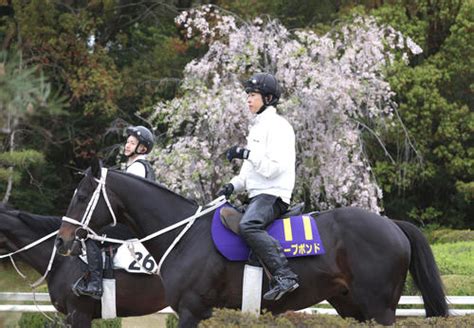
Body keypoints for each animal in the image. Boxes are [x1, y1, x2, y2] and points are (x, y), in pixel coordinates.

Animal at [55, 159, 448, 326]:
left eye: (80, 197)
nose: (63, 241)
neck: (185, 236)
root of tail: (392, 225)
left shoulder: (192, 309)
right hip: (352, 305)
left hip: (380, 308)